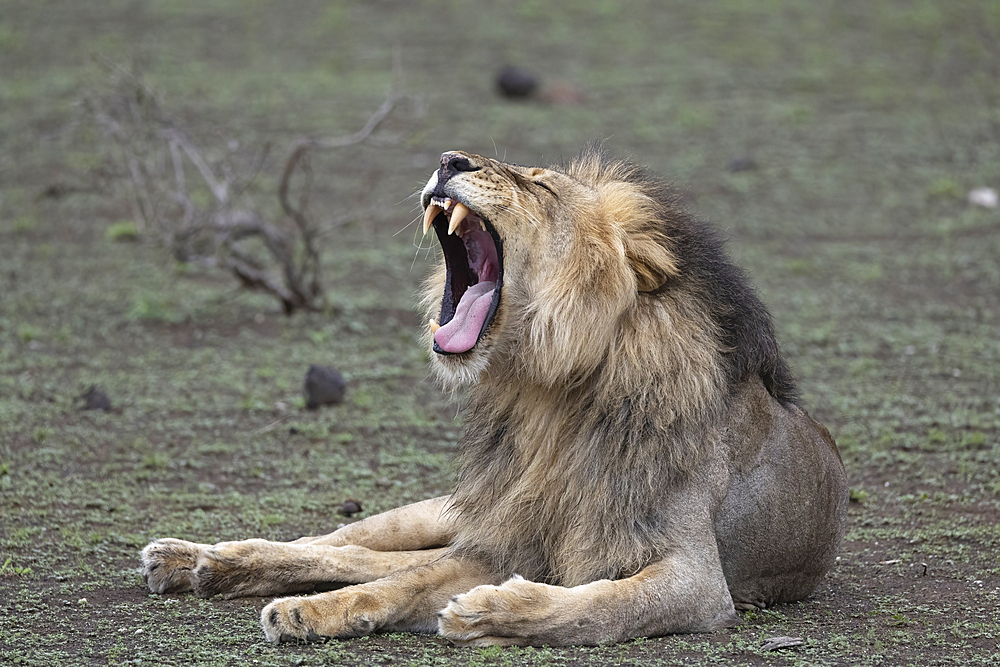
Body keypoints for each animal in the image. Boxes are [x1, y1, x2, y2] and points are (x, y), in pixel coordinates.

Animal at [139, 147, 844, 648]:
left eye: (541, 187)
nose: (451, 160)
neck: (552, 396)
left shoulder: (697, 579)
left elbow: (603, 607)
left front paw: (489, 611)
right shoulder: (501, 541)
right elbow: (401, 581)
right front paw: (308, 613)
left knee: (363, 558)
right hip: (445, 512)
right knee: (346, 544)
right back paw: (198, 559)